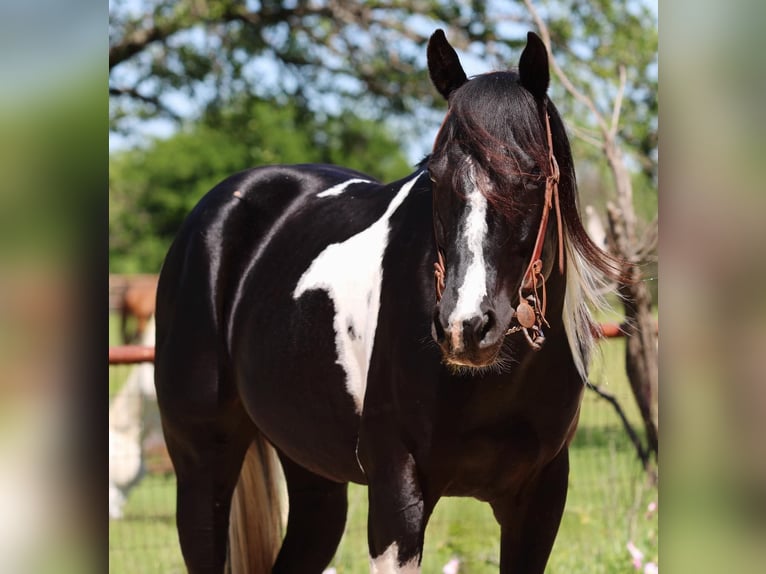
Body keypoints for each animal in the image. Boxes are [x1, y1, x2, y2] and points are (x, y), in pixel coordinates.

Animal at [153, 30, 620, 574]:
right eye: (434, 176)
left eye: (531, 174)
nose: (465, 327)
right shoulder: (398, 497)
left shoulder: (540, 501)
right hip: (201, 471)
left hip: (314, 477)